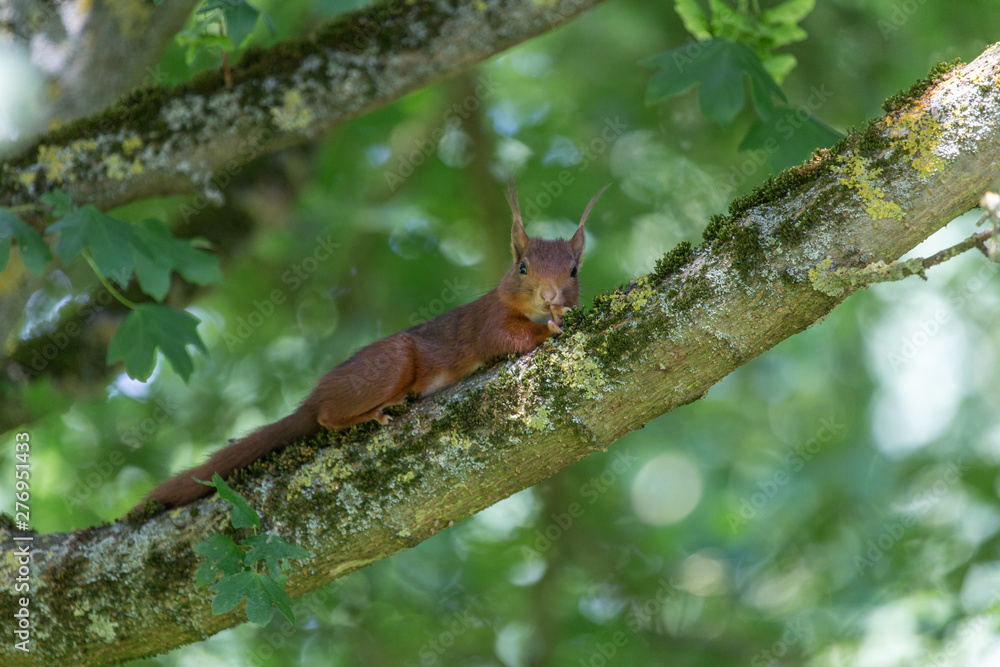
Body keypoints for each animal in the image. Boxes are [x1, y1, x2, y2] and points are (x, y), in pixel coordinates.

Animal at [139, 180, 608, 508]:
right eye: (523, 267)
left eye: (573, 271)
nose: (549, 296)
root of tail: (314, 396)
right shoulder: (486, 323)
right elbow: (506, 337)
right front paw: (548, 329)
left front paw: (562, 315)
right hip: (391, 365)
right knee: (326, 418)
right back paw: (371, 412)